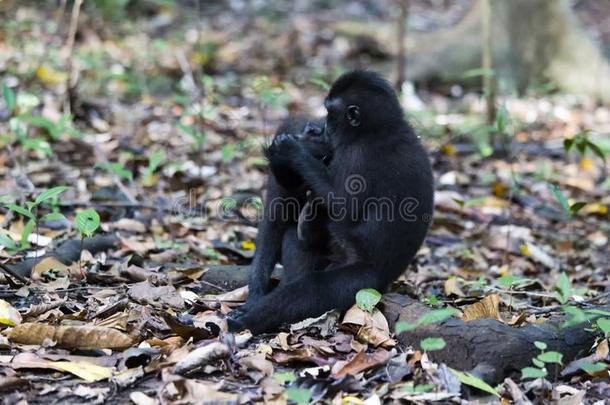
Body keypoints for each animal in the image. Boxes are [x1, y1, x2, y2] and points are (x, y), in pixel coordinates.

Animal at [228, 72, 432, 332]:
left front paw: (292, 150)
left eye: (328, 113)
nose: (319, 127)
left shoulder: (357, 156)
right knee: (296, 240)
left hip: (363, 281)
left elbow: (343, 207)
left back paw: (247, 319)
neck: (378, 131)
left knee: (312, 290)